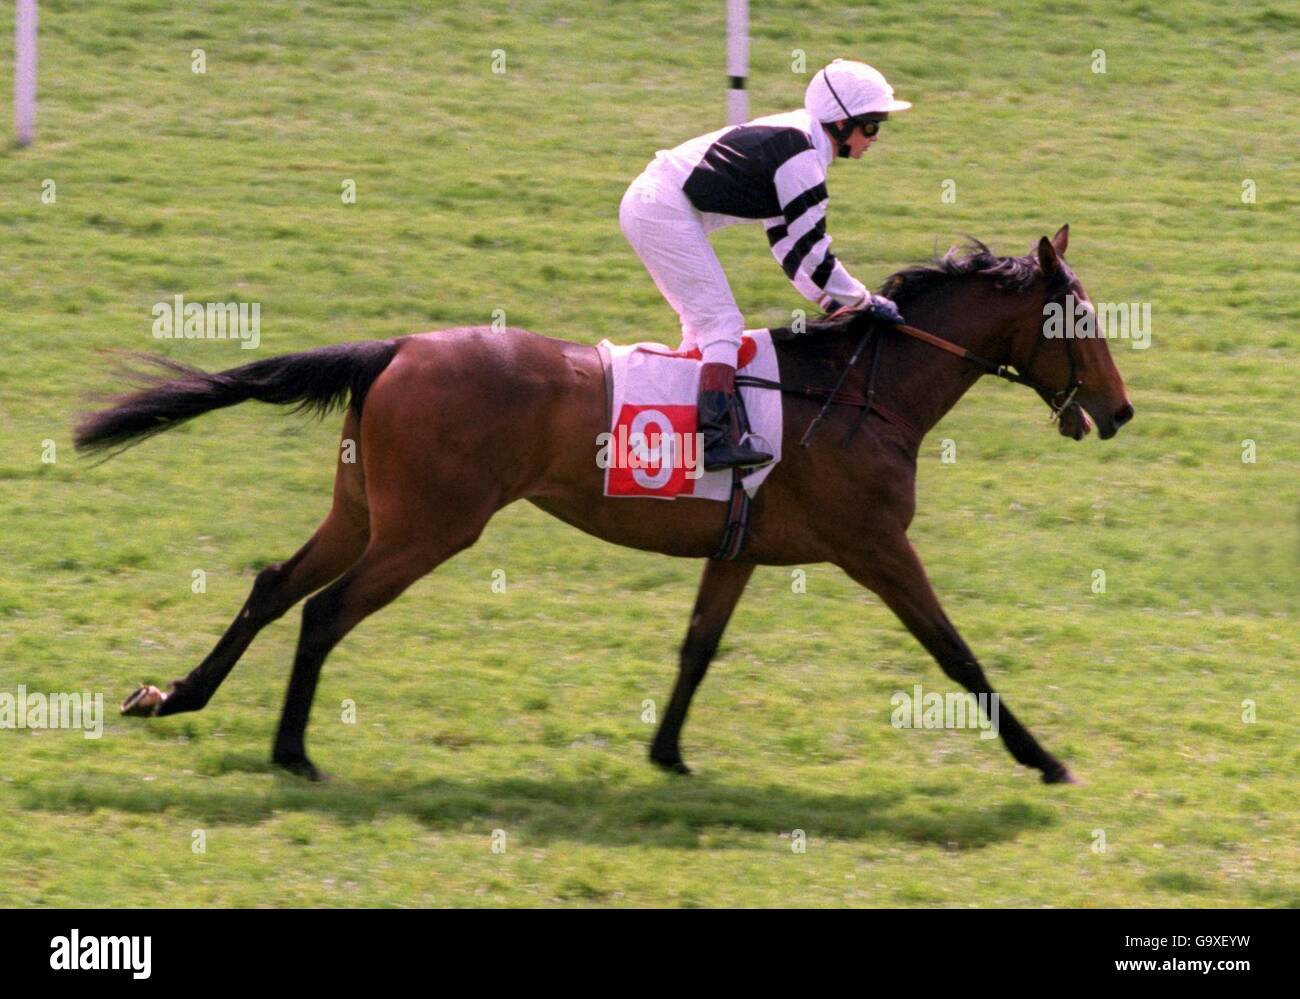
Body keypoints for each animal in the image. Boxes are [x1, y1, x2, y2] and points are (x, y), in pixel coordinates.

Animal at [78, 223, 1138, 780]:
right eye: (1076, 317)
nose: (1120, 410)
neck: (857, 391)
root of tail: (398, 348)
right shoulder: (876, 546)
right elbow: (959, 655)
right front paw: (1045, 758)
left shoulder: (740, 550)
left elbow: (698, 648)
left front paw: (667, 751)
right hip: (430, 526)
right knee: (326, 610)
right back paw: (293, 748)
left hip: (364, 511)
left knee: (272, 584)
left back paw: (175, 694)